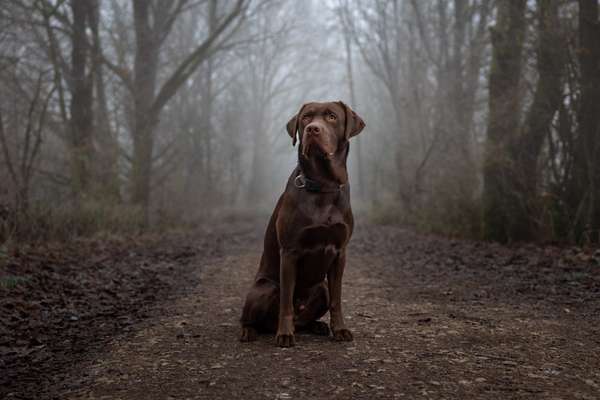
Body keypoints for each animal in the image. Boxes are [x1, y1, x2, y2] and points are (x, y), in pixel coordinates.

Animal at [240, 101, 366, 346]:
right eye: (306, 117)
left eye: (332, 117)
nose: (312, 129)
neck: (323, 185)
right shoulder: (290, 252)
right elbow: (286, 301)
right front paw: (284, 334)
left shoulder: (340, 252)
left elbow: (337, 299)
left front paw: (340, 329)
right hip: (265, 288)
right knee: (250, 318)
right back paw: (250, 331)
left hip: (321, 287)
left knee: (308, 316)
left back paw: (317, 326)